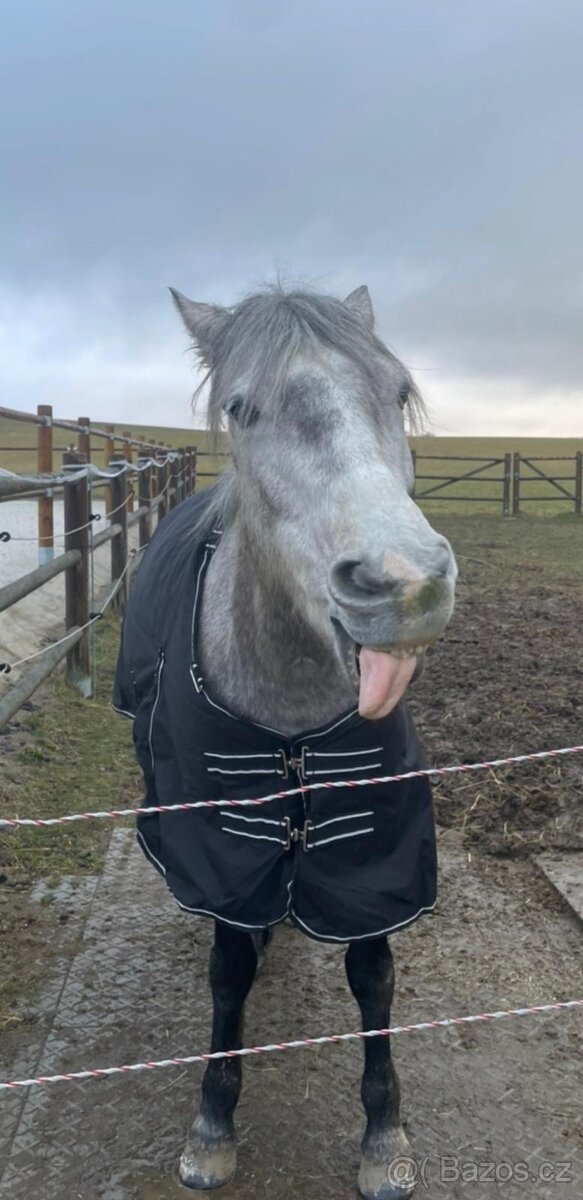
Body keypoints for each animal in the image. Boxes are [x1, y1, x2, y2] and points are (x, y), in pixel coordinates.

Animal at [114, 283, 457, 1199]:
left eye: (398, 392)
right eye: (241, 408)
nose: (401, 585)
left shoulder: (372, 844)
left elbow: (372, 975)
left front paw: (383, 1135)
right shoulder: (220, 845)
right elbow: (228, 967)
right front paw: (212, 1124)